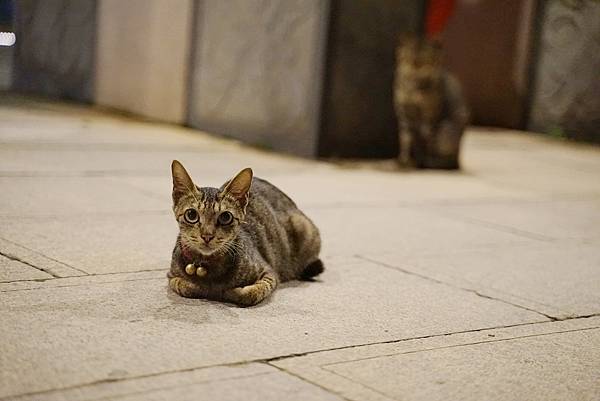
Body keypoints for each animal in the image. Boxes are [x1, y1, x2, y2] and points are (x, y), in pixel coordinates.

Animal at [166, 161, 326, 304]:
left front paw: (229, 292)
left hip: (302, 226)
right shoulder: (171, 276)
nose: (207, 235)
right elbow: (185, 286)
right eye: (191, 215)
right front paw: (201, 287)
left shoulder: (270, 273)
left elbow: (250, 294)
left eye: (226, 217)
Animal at [394, 34, 468, 169]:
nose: (416, 66)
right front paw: (404, 159)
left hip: (445, 132)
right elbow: (405, 140)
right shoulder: (404, 115)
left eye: (425, 61)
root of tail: (458, 159)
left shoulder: (428, 116)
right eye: (409, 59)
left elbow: (425, 140)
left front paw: (420, 162)